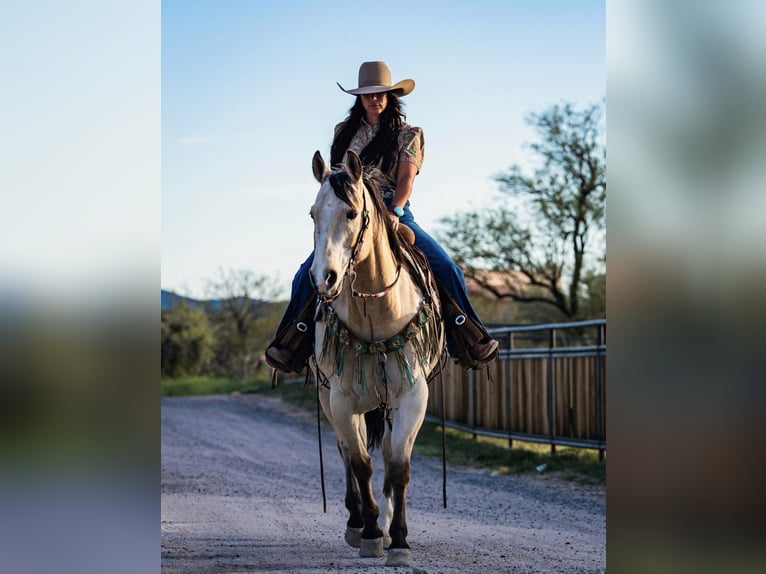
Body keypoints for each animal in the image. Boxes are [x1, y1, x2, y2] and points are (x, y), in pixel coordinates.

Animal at [309, 149, 444, 567]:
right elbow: (359, 463)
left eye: (352, 213)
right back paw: (358, 521)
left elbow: (397, 466)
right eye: (312, 214)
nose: (323, 279)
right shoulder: (341, 400)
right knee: (343, 450)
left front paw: (397, 540)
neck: (376, 315)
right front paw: (368, 533)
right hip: (328, 397)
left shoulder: (412, 397)